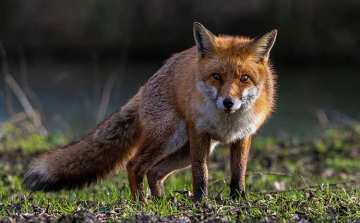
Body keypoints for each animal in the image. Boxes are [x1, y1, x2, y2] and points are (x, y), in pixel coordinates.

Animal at [23, 22, 278, 202]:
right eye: (216, 76)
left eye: (244, 78)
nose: (228, 102)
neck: (227, 123)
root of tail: (144, 86)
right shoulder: (199, 132)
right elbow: (201, 174)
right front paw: (200, 202)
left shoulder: (243, 136)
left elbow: (238, 174)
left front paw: (239, 201)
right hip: (172, 137)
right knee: (135, 165)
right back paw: (141, 202)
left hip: (184, 149)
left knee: (154, 171)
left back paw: (160, 201)